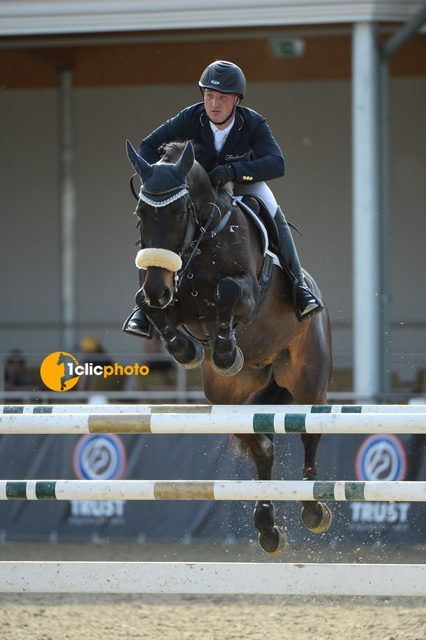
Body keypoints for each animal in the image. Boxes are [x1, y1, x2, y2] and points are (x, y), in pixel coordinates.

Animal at [125, 139, 332, 556]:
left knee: (308, 430)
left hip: (308, 379)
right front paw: (186, 349)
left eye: (179, 213)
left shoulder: (246, 293)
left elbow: (227, 290)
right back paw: (267, 527)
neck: (201, 239)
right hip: (227, 396)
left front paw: (223, 352)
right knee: (262, 445)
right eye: (141, 213)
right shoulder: (166, 293)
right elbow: (148, 306)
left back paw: (313, 509)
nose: (158, 289)